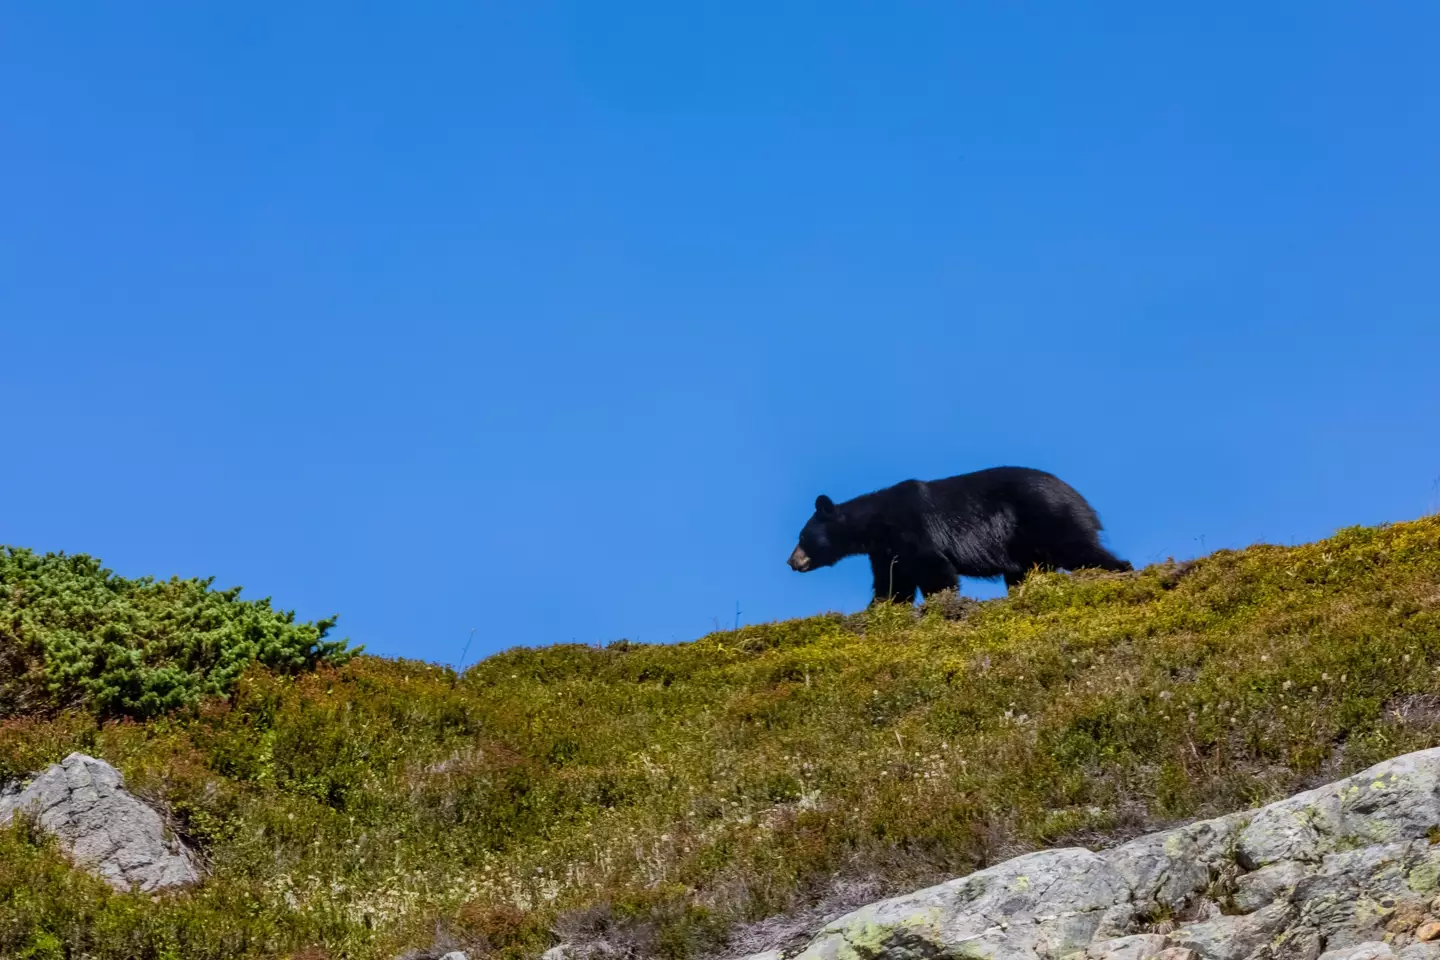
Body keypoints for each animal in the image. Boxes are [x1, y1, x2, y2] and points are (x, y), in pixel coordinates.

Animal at [786, 465, 1132, 605]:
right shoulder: (885, 551)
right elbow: (893, 584)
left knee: (1080, 548)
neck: (875, 524)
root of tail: (1080, 497)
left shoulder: (911, 528)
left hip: (1049, 517)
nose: (791, 561)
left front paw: (940, 604)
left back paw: (1120, 571)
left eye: (802, 537)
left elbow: (934, 567)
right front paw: (879, 608)